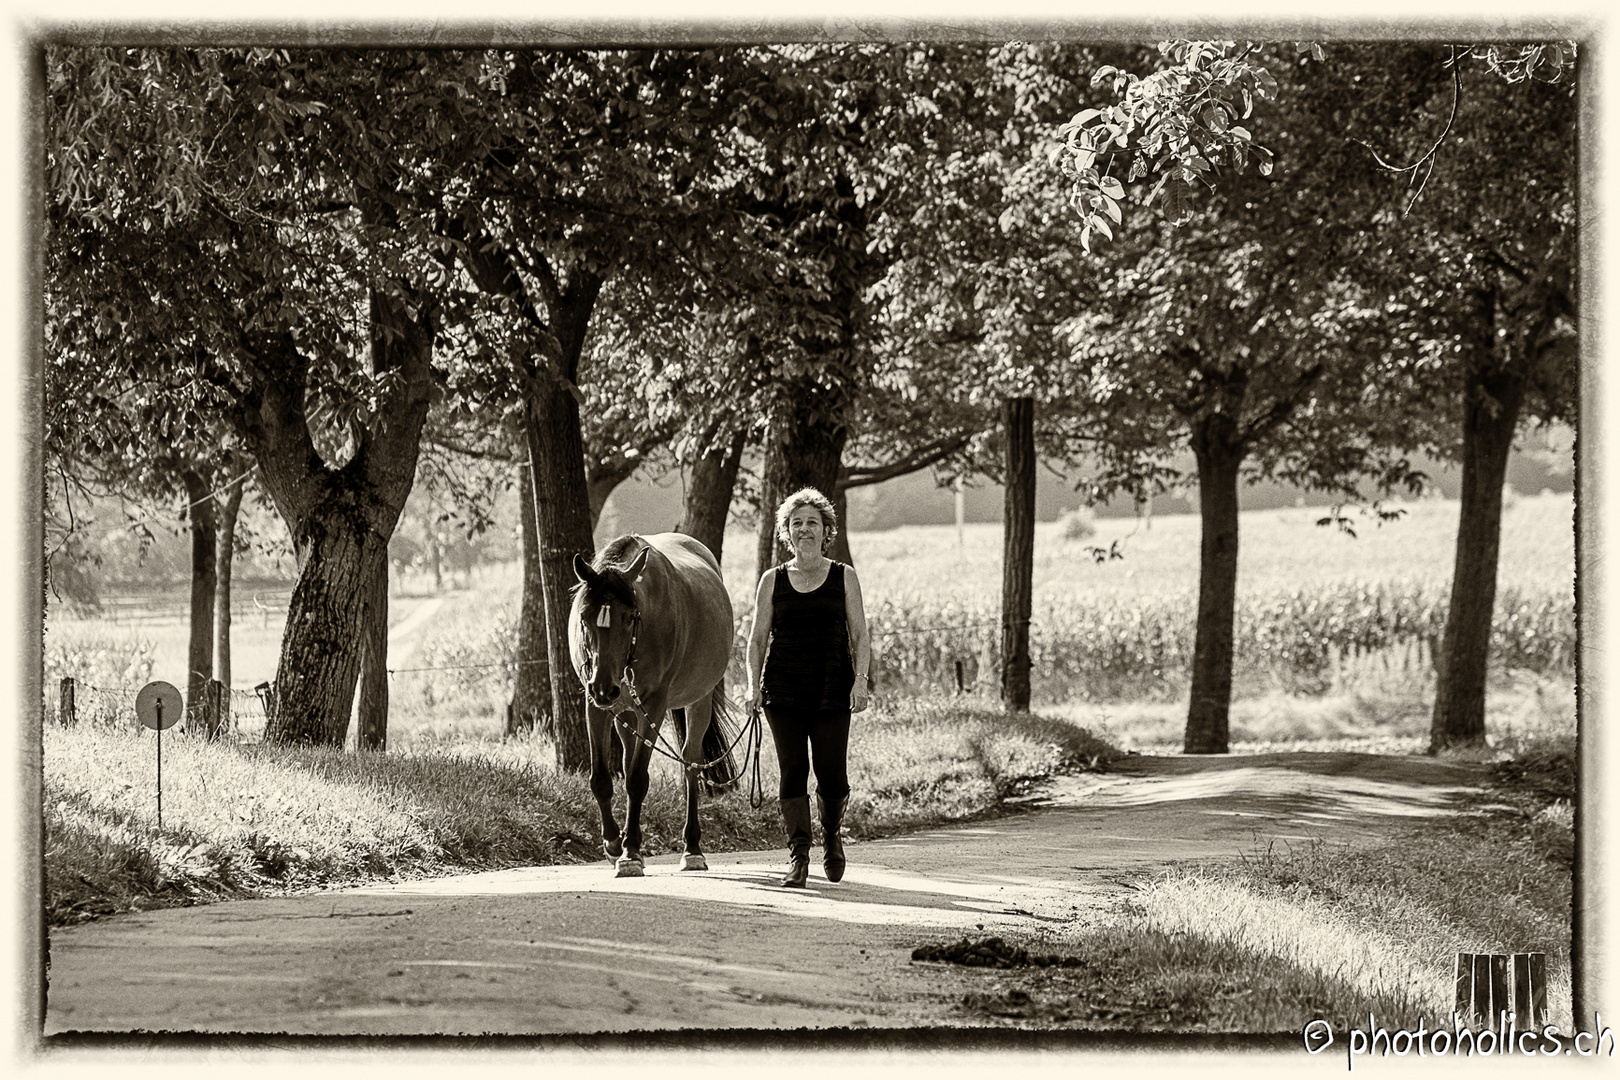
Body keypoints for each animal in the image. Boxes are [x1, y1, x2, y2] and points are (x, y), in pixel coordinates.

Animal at [567, 531, 741, 880]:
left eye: (629, 617)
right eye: (584, 617)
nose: (605, 687)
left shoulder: (655, 704)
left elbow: (637, 779)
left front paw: (631, 852)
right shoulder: (595, 705)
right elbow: (601, 778)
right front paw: (613, 843)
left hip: (697, 700)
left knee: (690, 763)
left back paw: (692, 848)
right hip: (625, 712)